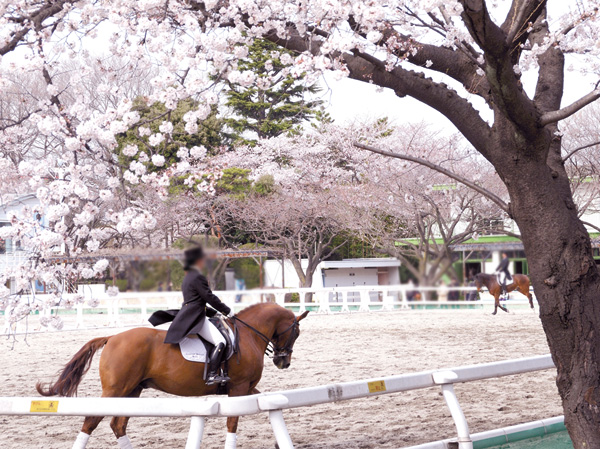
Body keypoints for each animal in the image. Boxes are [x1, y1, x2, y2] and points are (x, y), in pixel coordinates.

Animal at [36, 300, 310, 448]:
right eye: (296, 332)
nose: (283, 362)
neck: (249, 334)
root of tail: (112, 337)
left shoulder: (244, 388)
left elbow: (266, 405)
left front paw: (279, 441)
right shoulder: (239, 388)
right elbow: (233, 422)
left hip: (132, 391)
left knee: (117, 424)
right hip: (115, 390)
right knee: (91, 421)